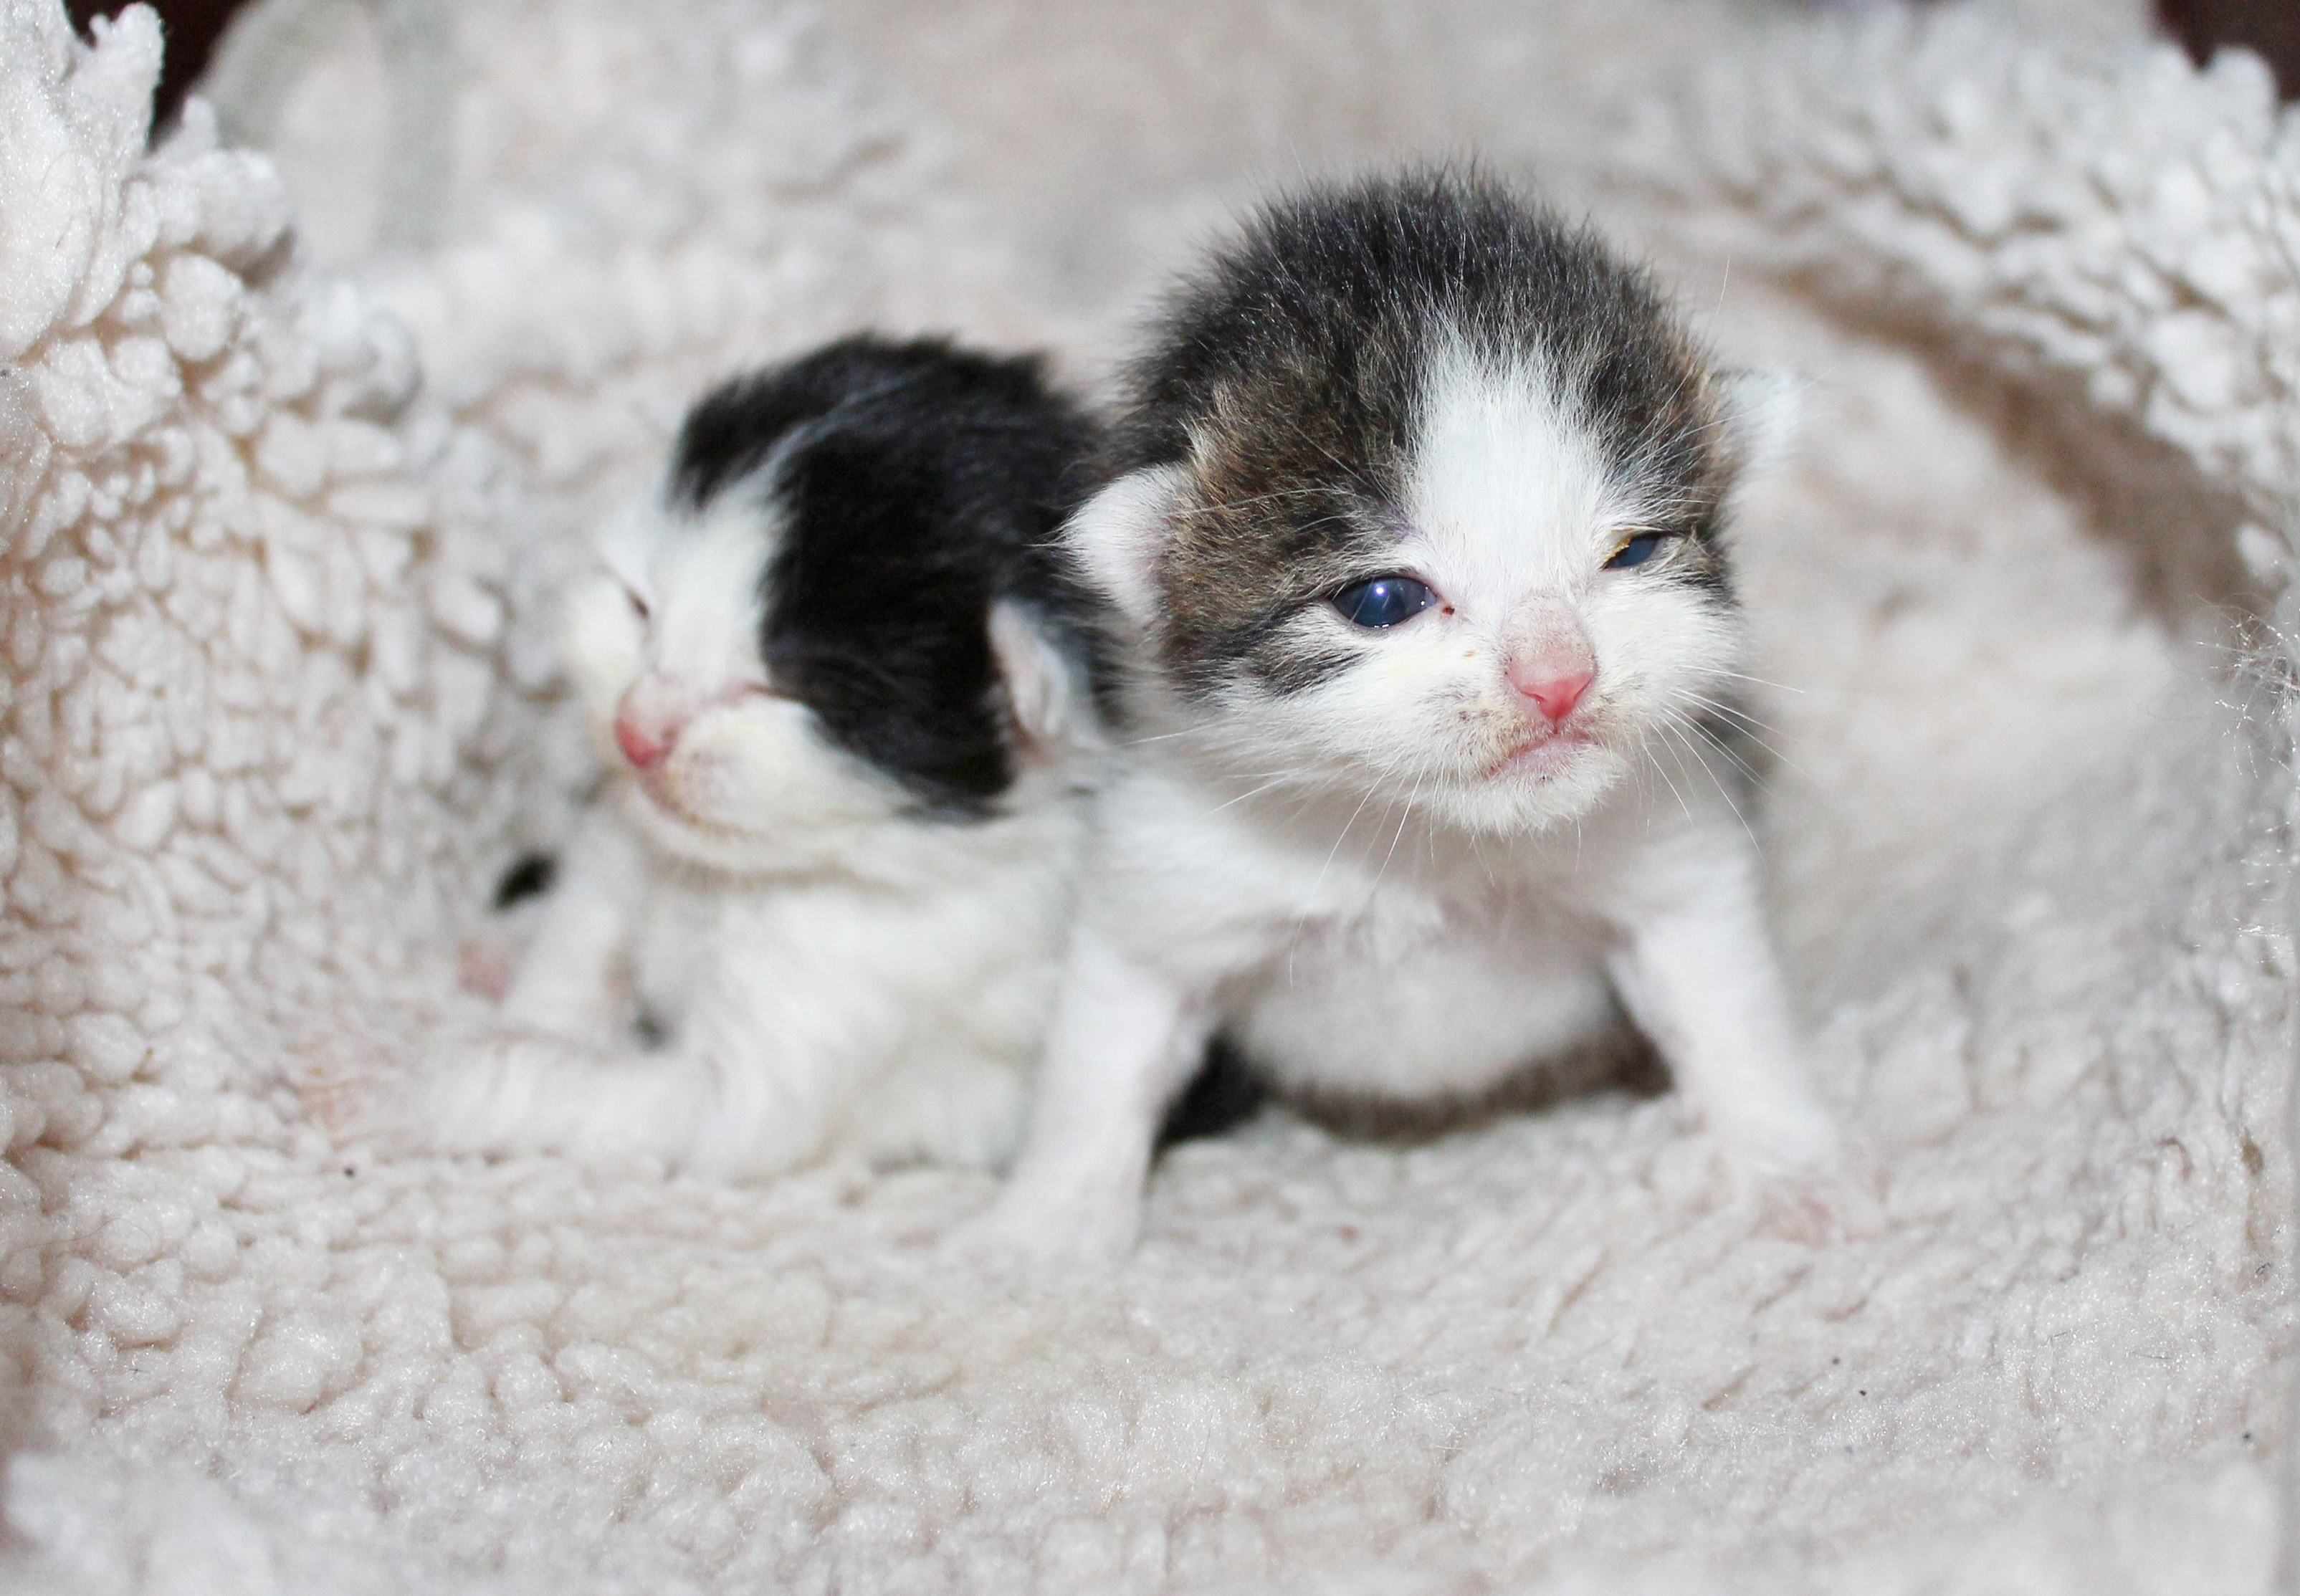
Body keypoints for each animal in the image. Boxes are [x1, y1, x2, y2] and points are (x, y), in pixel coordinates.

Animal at [320, 338, 1108, 1177]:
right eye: (639, 607)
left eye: (780, 690)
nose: (635, 732)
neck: (728, 881)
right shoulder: (622, 846)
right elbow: (579, 935)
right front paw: (535, 1009)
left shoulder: (819, 1021)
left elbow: (569, 1077)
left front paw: (389, 1075)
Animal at [956, 174, 1867, 1269]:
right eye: (1382, 599)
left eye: (1634, 551)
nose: (1559, 677)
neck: (1426, 841)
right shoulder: (1167, 882)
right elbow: (1102, 1056)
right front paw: (1045, 1229)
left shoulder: (1673, 847)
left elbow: (1726, 1006)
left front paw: (1783, 1165)